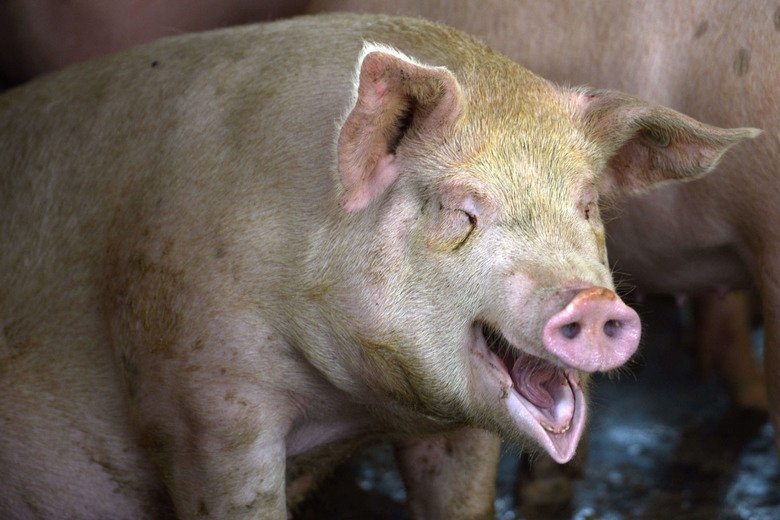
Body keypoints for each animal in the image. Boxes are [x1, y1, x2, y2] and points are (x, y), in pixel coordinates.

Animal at [0, 13, 756, 520]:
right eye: (461, 209)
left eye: (588, 204)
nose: (595, 304)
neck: (348, 405)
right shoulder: (196, 402)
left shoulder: (457, 432)